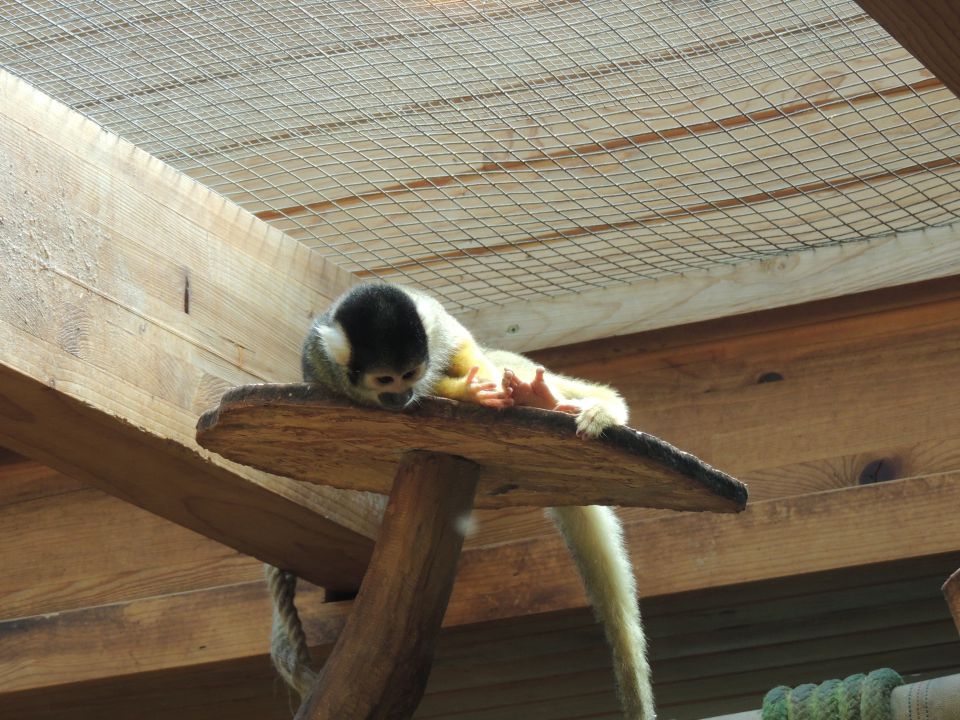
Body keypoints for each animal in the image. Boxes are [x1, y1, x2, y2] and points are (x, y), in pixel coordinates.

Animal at [296, 282, 656, 720]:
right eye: (385, 379)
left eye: (408, 374)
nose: (401, 396)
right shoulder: (326, 372)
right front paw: (467, 392)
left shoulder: (434, 325)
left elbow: (465, 349)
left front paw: (497, 389)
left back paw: (565, 401)